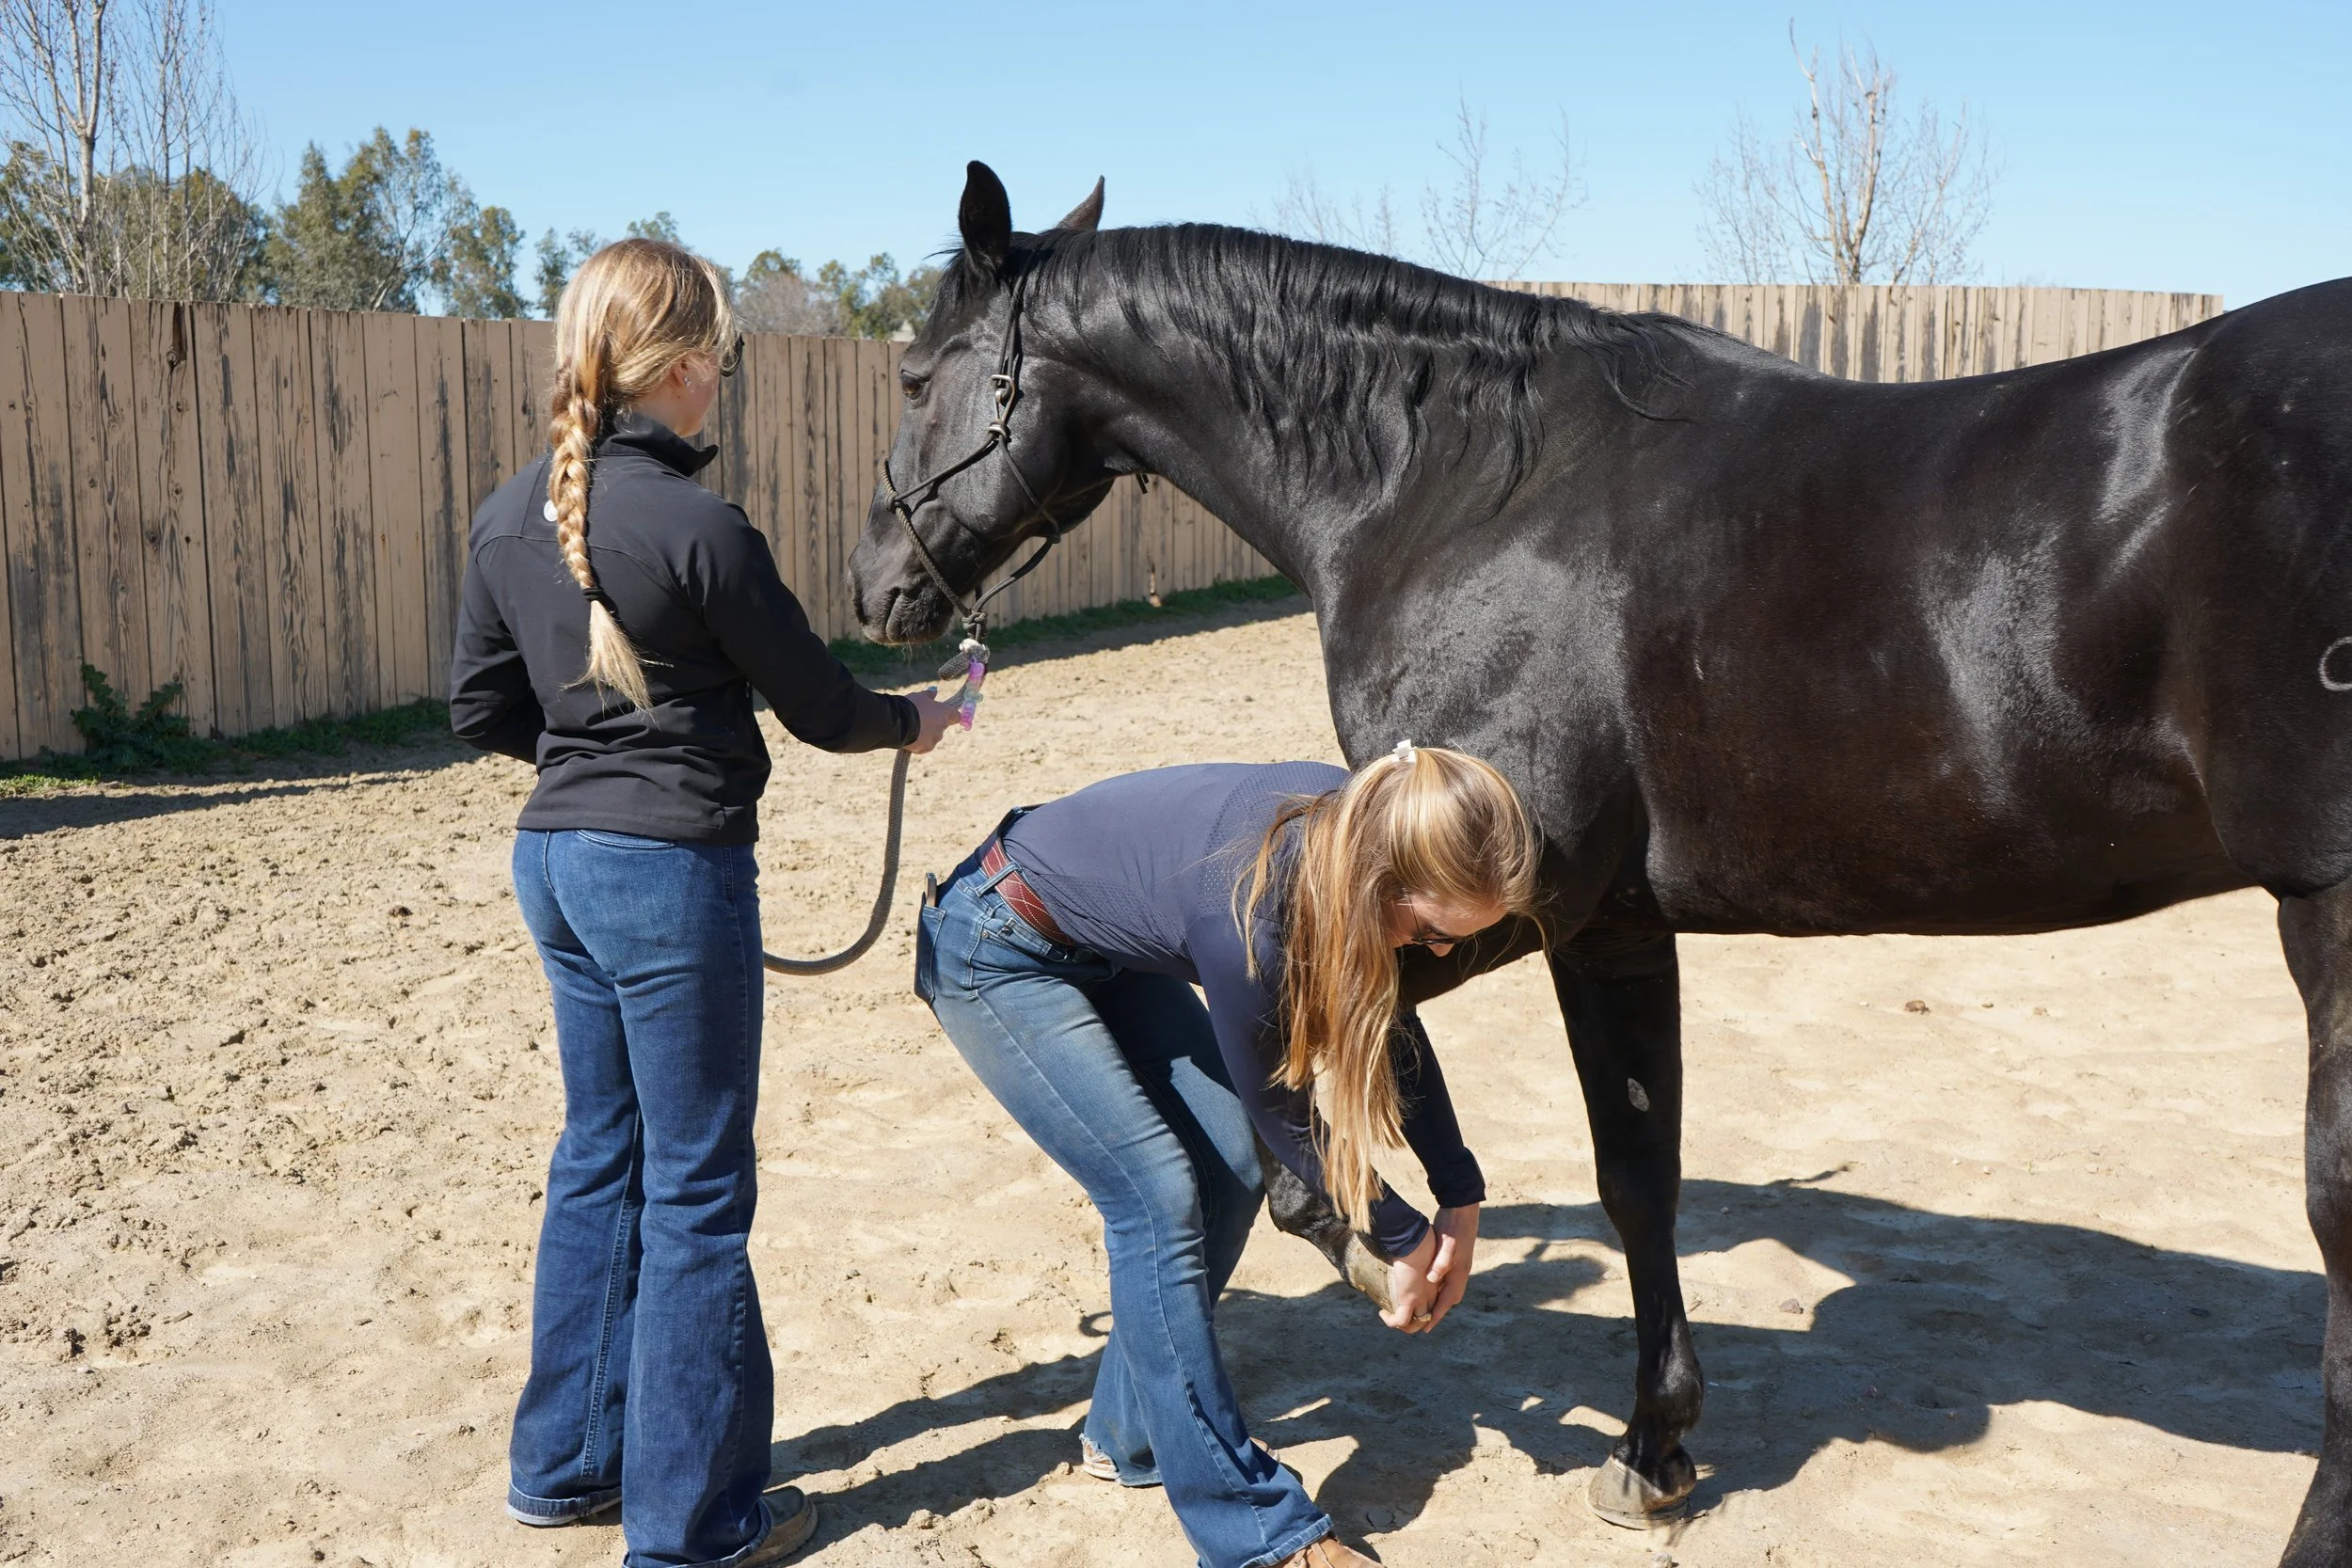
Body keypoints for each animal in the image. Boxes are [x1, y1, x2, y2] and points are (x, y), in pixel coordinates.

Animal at [846, 160, 2352, 1563]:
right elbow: (1641, 1170)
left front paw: (1381, 1262)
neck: (1463, 490)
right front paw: (1655, 1447)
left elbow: (1305, 1119)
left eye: (917, 372)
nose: (873, 587)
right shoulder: (1614, 923)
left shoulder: (1491, 907)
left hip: (2325, 915)